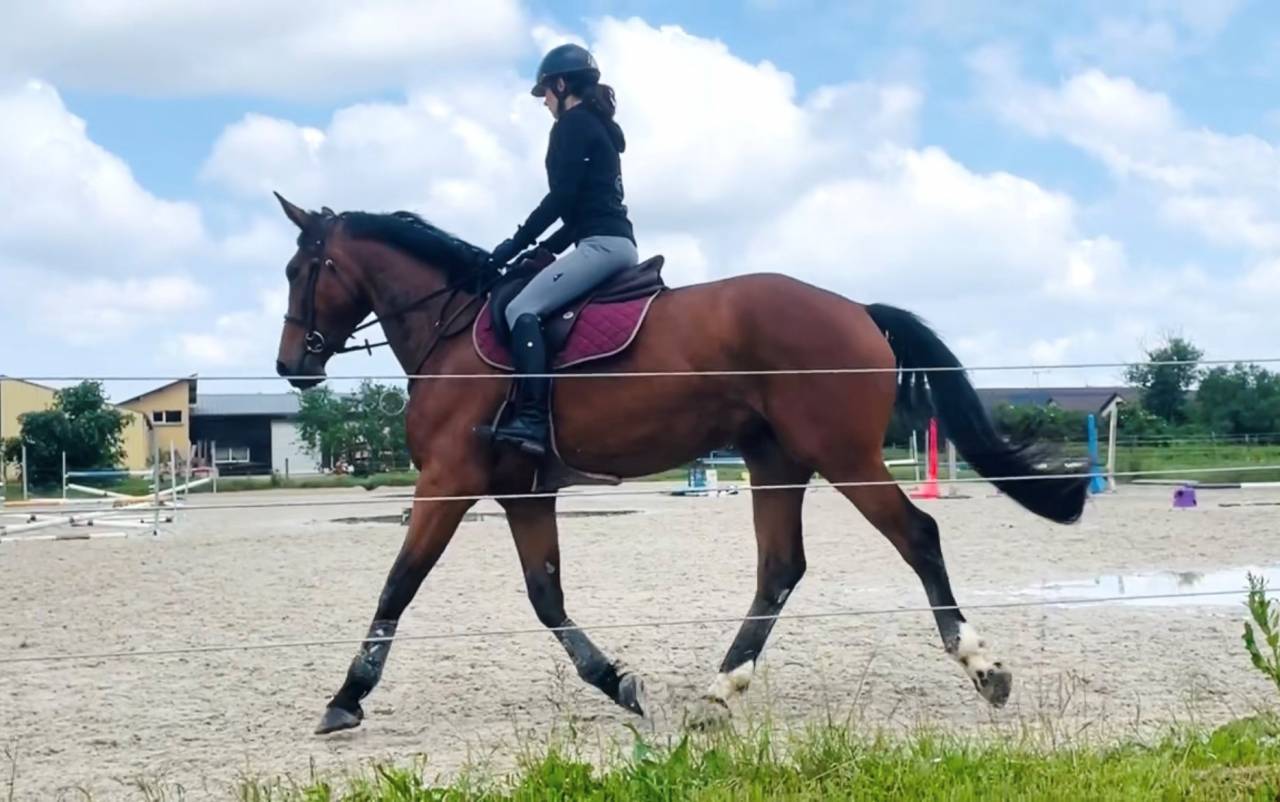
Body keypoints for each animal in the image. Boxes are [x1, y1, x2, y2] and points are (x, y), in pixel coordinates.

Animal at [270, 193, 1090, 735]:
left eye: (300, 269)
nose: (289, 367)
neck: (450, 329)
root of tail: (855, 307)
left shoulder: (448, 484)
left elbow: (399, 585)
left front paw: (346, 697)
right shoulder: (523, 494)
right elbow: (547, 599)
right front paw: (617, 683)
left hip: (843, 455)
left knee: (917, 535)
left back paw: (982, 666)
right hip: (776, 459)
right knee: (780, 567)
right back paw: (723, 689)